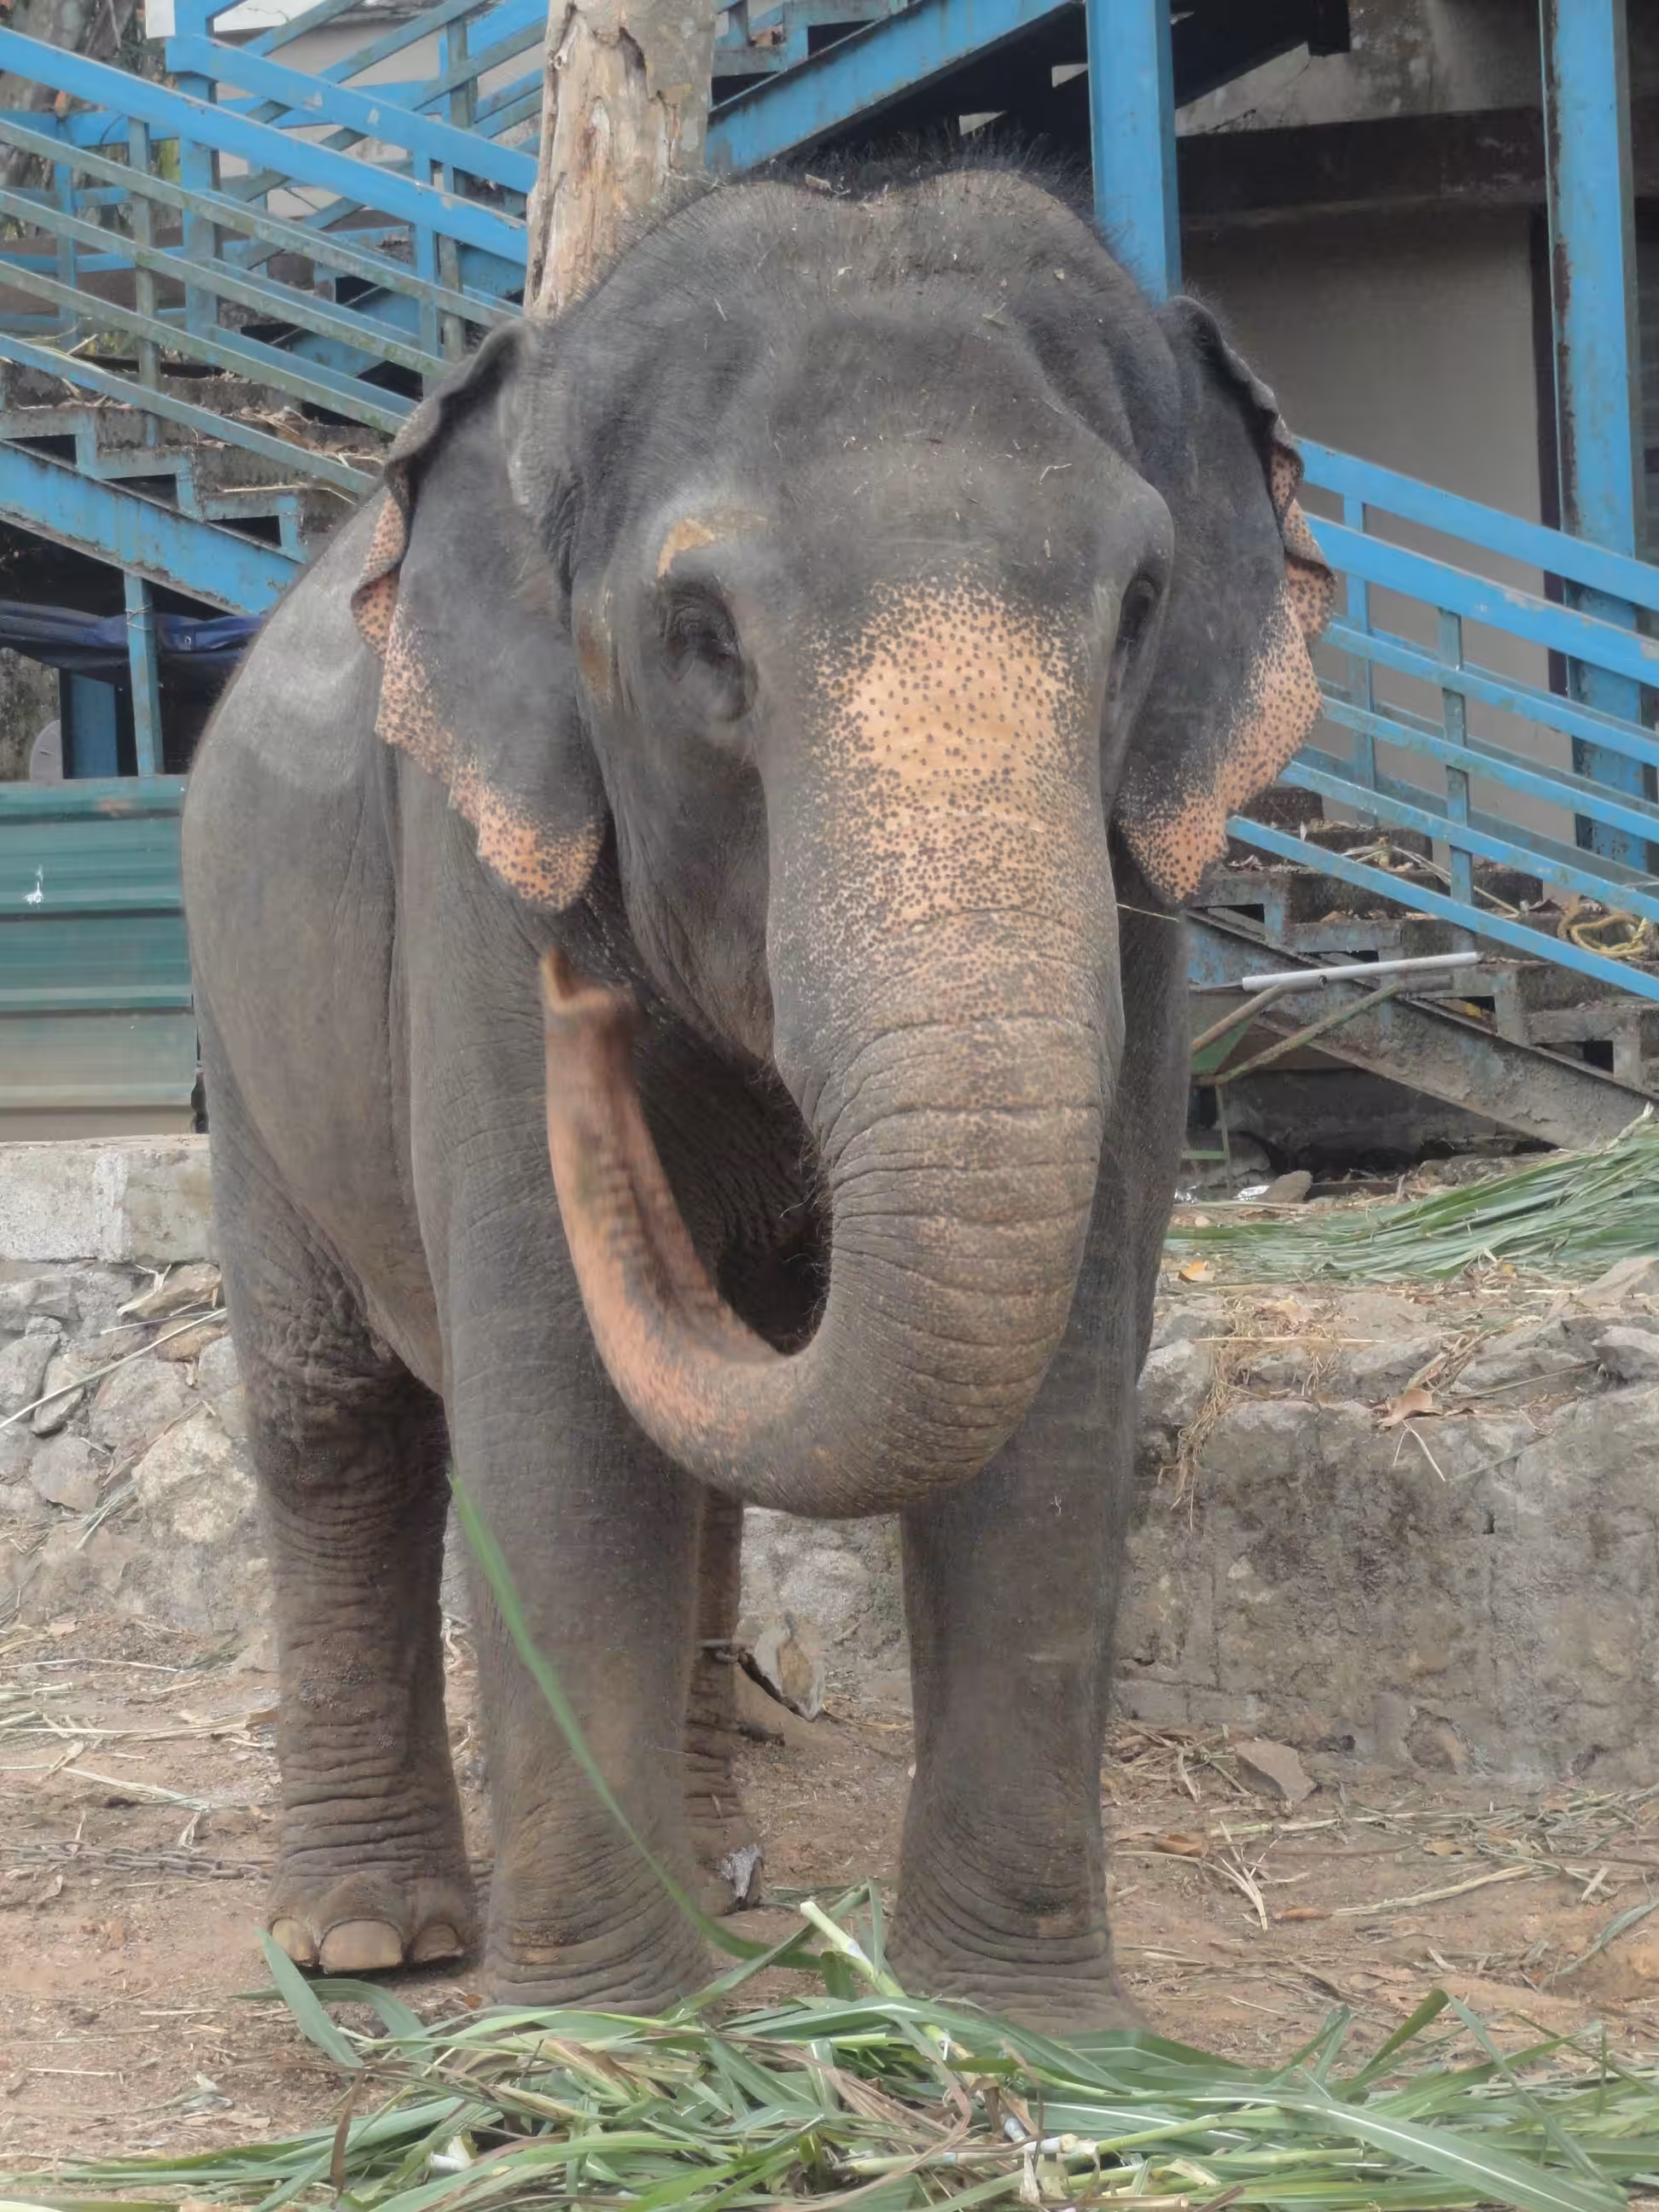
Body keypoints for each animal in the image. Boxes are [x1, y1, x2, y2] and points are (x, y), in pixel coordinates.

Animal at [181, 158, 1332, 2030]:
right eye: (699, 637)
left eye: (1140, 608)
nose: (583, 1010)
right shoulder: (486, 876)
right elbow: (555, 1398)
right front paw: (601, 2044)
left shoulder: (1142, 888)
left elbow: (1064, 1382)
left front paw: (1029, 2034)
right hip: (239, 1023)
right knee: (331, 1426)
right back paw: (366, 1941)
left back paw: (718, 1870)